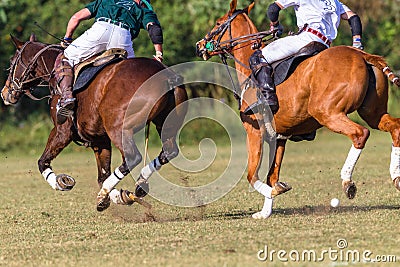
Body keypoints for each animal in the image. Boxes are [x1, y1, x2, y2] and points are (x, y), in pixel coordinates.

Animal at [0, 34, 188, 213]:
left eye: (12, 61)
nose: (5, 93)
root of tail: (167, 77)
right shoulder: (99, 139)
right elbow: (102, 174)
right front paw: (115, 196)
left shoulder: (62, 131)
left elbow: (42, 162)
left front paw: (61, 182)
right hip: (165, 124)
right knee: (169, 151)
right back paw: (139, 184)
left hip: (118, 128)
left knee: (132, 157)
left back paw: (113, 191)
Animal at [196, 0, 400, 219]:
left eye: (218, 23)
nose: (200, 46)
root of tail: (362, 55)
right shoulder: (279, 136)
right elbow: (271, 175)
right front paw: (265, 212)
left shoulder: (254, 131)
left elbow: (252, 175)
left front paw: (275, 192)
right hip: (372, 113)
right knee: (395, 127)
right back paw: (395, 177)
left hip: (326, 112)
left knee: (360, 133)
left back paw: (348, 181)